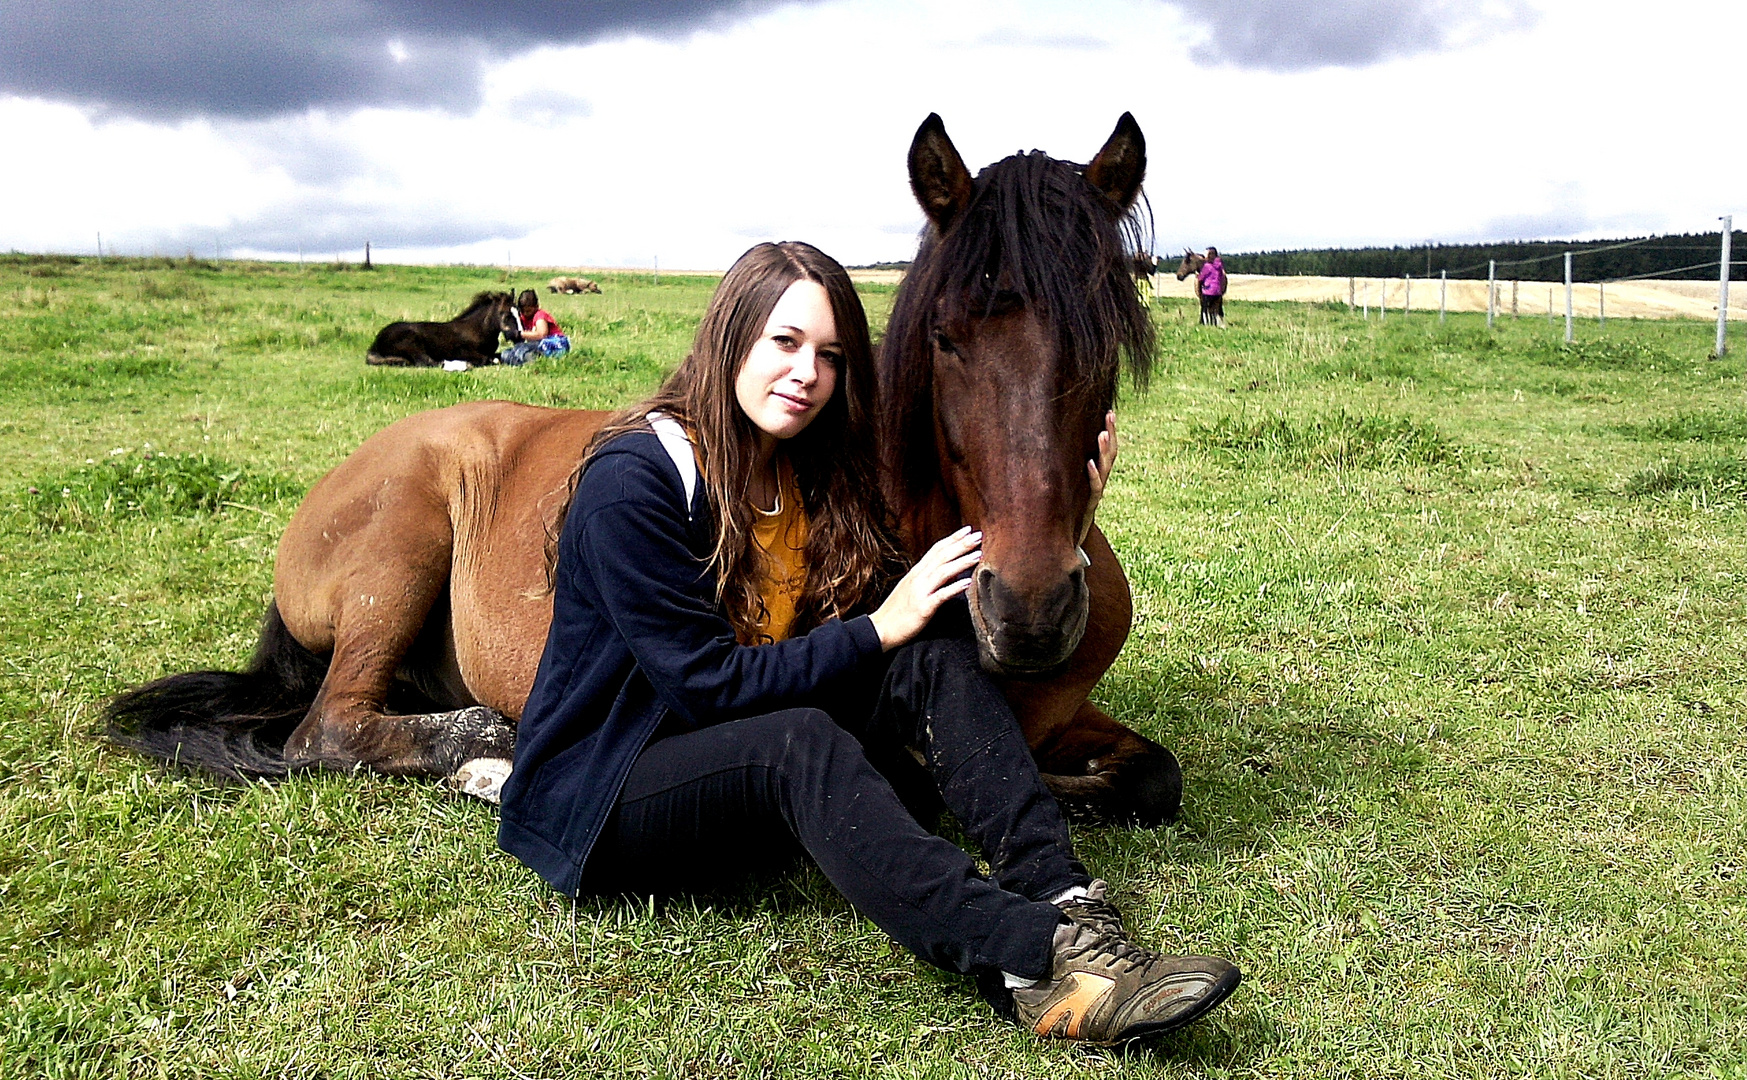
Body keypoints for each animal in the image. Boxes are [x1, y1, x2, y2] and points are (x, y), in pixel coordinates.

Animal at [365, 291, 520, 368]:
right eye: (504, 314)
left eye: (518, 312)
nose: (517, 336)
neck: (478, 329)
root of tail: (376, 343)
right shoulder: (462, 351)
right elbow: (487, 359)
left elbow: (498, 356)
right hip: (411, 343)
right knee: (425, 361)